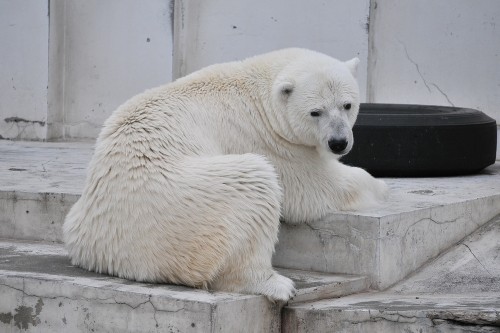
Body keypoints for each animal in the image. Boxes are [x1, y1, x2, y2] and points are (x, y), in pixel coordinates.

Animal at [63, 48, 386, 300]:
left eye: (347, 105)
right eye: (315, 112)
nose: (338, 142)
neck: (260, 93)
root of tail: (112, 254)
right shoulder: (270, 140)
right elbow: (312, 188)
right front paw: (379, 186)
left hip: (82, 224)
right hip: (192, 202)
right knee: (255, 182)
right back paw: (274, 284)